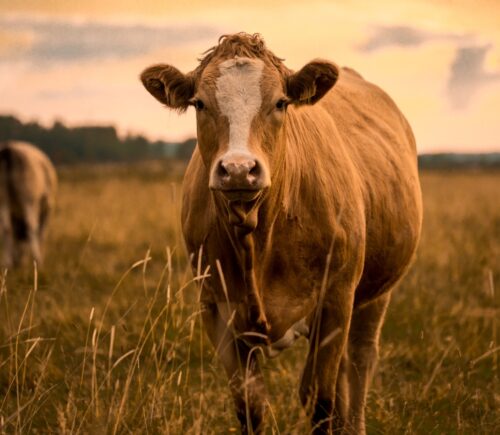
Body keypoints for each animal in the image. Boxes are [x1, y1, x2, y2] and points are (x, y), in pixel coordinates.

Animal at [140, 34, 422, 435]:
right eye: (199, 103)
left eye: (280, 103)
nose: (238, 170)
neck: (258, 241)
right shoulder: (216, 310)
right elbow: (251, 406)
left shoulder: (335, 299)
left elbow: (320, 402)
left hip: (373, 295)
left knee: (358, 364)